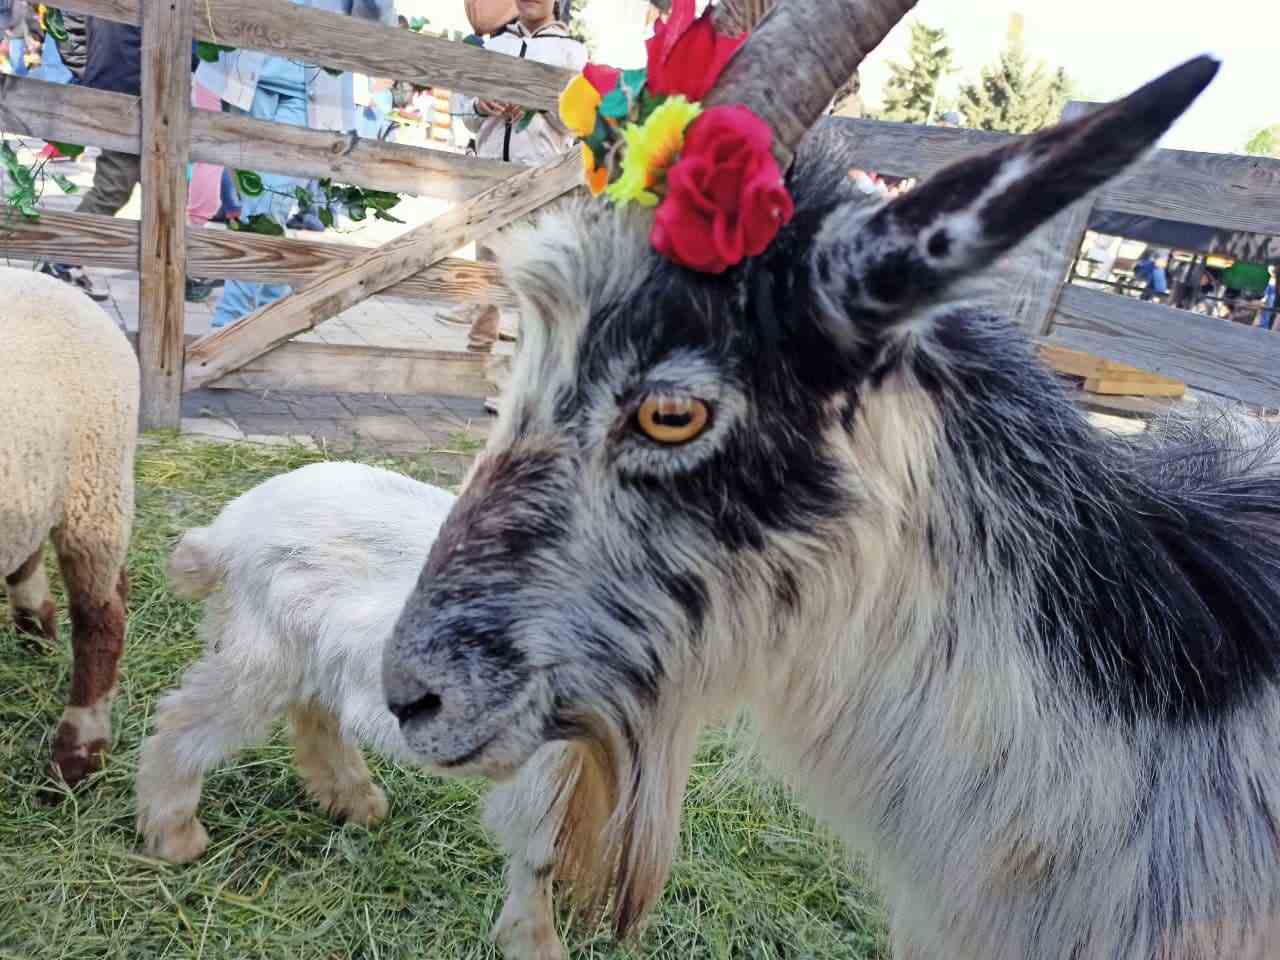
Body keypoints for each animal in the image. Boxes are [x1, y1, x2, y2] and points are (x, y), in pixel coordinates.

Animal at [135, 461, 593, 960]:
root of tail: (228, 528)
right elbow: (539, 854)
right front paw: (538, 944)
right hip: (264, 654)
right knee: (185, 723)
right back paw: (176, 837)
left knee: (315, 718)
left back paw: (357, 802)